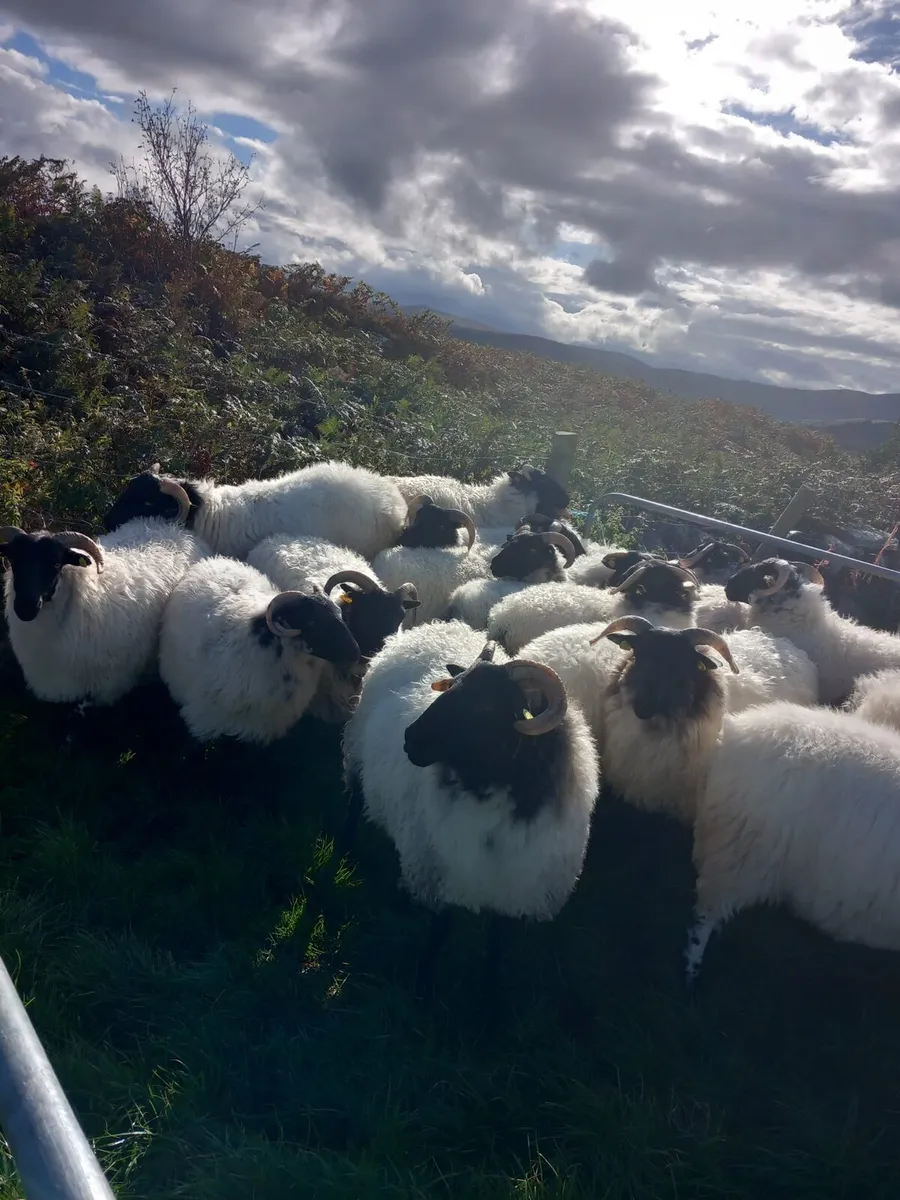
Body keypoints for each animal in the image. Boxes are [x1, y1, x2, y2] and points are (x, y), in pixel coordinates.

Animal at [159, 557, 361, 743]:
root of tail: (213, 560)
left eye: (339, 613)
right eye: (311, 622)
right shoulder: (204, 718)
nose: (356, 652)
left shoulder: (260, 728)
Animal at [341, 619, 598, 999]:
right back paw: (347, 849)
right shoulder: (443, 866)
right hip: (359, 751)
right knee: (354, 800)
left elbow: (497, 945)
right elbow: (440, 931)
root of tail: (432, 628)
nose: (409, 739)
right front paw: (423, 985)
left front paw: (488, 995)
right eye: (451, 688)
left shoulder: (516, 887)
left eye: (487, 708)